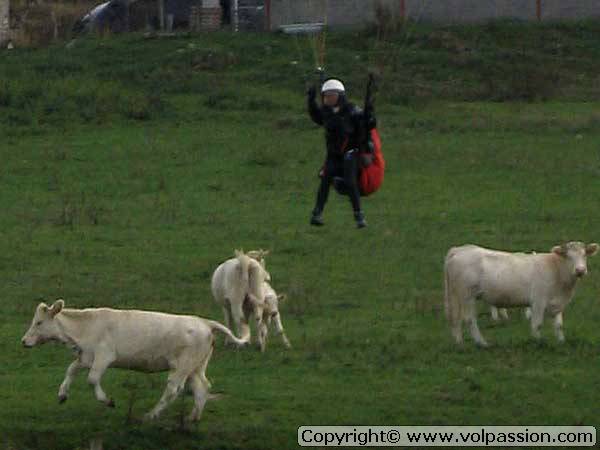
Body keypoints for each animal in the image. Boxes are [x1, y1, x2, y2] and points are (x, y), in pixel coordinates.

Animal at [21, 298, 246, 422]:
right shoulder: (86, 356)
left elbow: (92, 379)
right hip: (195, 367)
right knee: (202, 387)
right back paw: (193, 417)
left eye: (39, 322)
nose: (24, 341)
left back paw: (151, 415)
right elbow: (71, 370)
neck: (86, 326)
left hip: (182, 367)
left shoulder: (104, 356)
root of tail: (204, 322)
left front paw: (107, 400)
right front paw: (62, 394)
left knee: (173, 389)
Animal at [442, 241, 596, 346]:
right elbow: (537, 324)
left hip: (455, 295)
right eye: (568, 256)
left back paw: (459, 343)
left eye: (584, 255)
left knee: (455, 318)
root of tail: (460, 249)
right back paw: (481, 343)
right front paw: (538, 342)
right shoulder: (538, 301)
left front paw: (561, 342)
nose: (580, 270)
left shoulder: (557, 302)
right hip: (467, 295)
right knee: (469, 319)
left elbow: (559, 325)